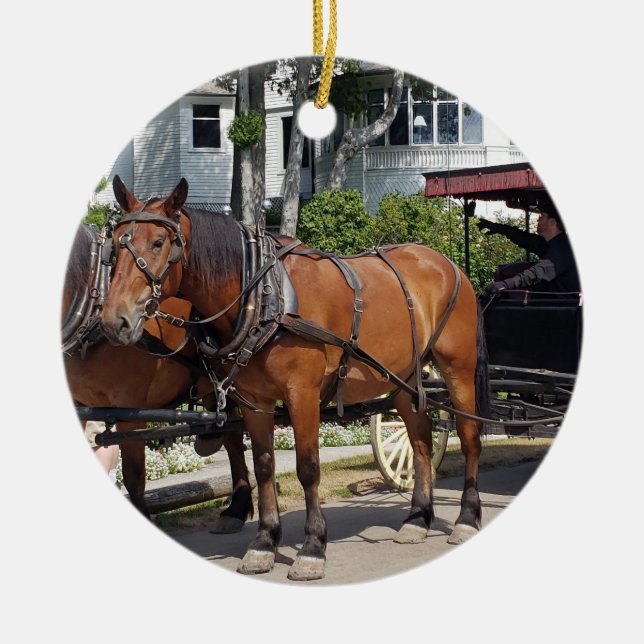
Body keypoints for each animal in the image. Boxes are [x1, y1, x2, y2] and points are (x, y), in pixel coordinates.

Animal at [101, 176, 489, 581]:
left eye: (158, 243)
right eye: (115, 245)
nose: (115, 320)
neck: (265, 297)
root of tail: (447, 263)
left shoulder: (301, 394)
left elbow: (308, 468)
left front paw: (313, 547)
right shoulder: (255, 401)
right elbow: (264, 466)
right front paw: (264, 543)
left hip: (457, 369)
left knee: (469, 437)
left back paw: (465, 518)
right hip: (402, 377)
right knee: (421, 440)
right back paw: (417, 519)